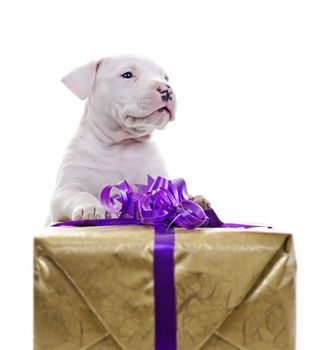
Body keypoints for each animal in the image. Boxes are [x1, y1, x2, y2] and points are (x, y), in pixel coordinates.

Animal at [49, 55, 176, 223]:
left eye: (165, 77)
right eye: (127, 75)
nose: (167, 88)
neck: (120, 144)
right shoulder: (65, 189)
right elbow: (80, 194)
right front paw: (90, 207)